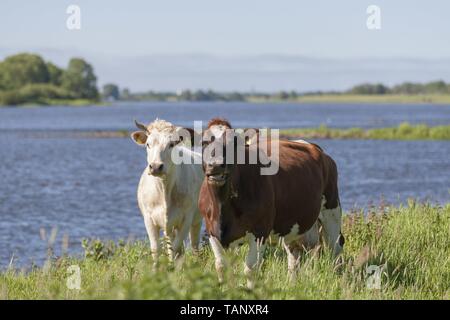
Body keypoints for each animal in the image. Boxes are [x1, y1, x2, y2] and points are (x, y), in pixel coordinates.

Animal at [131, 119, 203, 262]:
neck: (164, 190)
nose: (156, 166)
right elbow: (156, 249)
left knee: (194, 244)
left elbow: (176, 248)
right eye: (148, 144)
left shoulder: (186, 218)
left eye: (171, 144)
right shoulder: (149, 219)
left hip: (197, 219)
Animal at [199, 118, 342, 288]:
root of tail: (314, 147)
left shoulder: (260, 231)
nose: (215, 165)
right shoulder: (213, 232)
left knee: (335, 248)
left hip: (332, 210)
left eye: (233, 142)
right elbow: (221, 267)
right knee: (294, 254)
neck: (223, 207)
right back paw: (291, 284)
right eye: (204, 142)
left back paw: (338, 281)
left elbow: (251, 268)